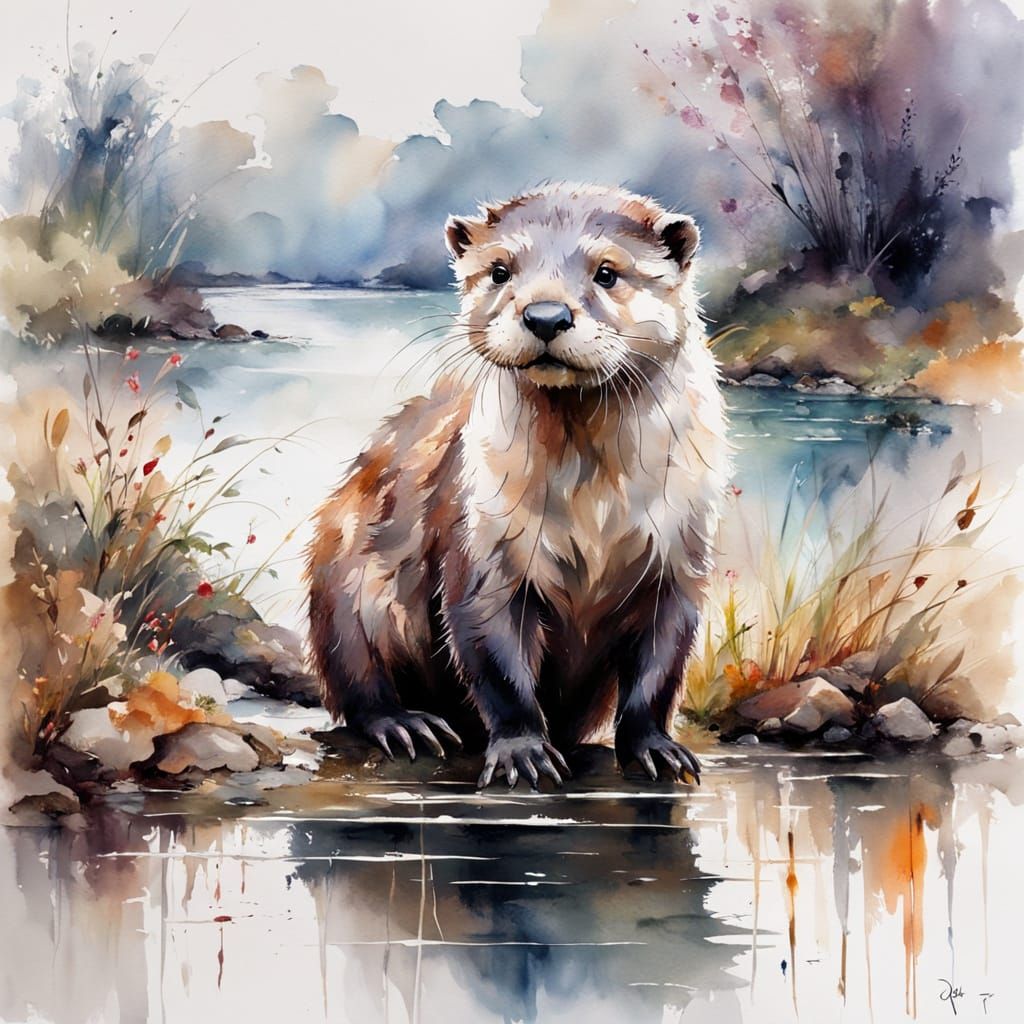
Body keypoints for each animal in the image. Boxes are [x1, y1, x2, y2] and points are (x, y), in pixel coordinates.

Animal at [306, 183, 729, 788]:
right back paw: (407, 725)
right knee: (357, 681)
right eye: (500, 270)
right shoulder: (483, 546)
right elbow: (497, 661)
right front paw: (522, 751)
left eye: (607, 272)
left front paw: (656, 749)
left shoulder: (679, 558)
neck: (594, 510)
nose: (545, 315)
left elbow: (660, 667)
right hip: (348, 582)